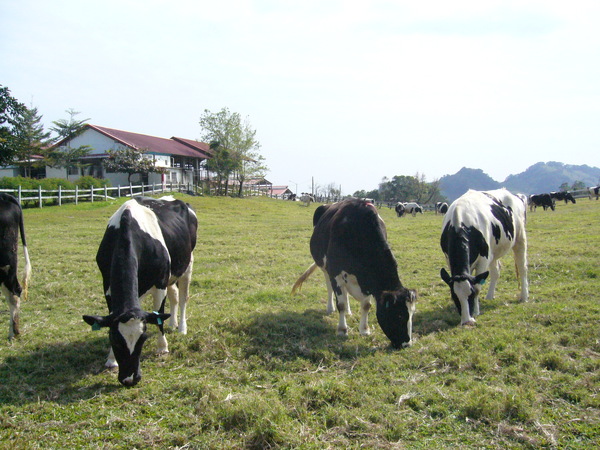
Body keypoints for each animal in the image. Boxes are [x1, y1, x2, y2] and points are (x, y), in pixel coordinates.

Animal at [83, 195, 197, 384]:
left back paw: (181, 328)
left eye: (142, 338)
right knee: (174, 296)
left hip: (186, 265)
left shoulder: (159, 284)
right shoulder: (107, 287)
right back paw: (172, 323)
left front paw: (162, 348)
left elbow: (158, 317)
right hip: (170, 275)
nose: (130, 379)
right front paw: (111, 359)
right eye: (115, 339)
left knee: (182, 298)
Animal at [292, 197, 418, 348]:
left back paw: (349, 311)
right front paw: (342, 330)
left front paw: (364, 330)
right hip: (325, 268)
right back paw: (330, 307)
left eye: (412, 314)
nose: (407, 344)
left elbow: (366, 305)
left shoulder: (368, 280)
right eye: (399, 315)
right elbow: (340, 303)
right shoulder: (335, 272)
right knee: (330, 288)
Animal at [438, 190, 528, 326]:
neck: (460, 225)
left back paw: (524, 296)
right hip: (493, 252)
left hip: (520, 238)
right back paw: (490, 296)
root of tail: (513, 194)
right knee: (496, 271)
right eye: (454, 296)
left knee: (522, 268)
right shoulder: (448, 259)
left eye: (472, 294)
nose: (467, 322)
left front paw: (475, 311)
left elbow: (478, 286)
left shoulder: (483, 260)